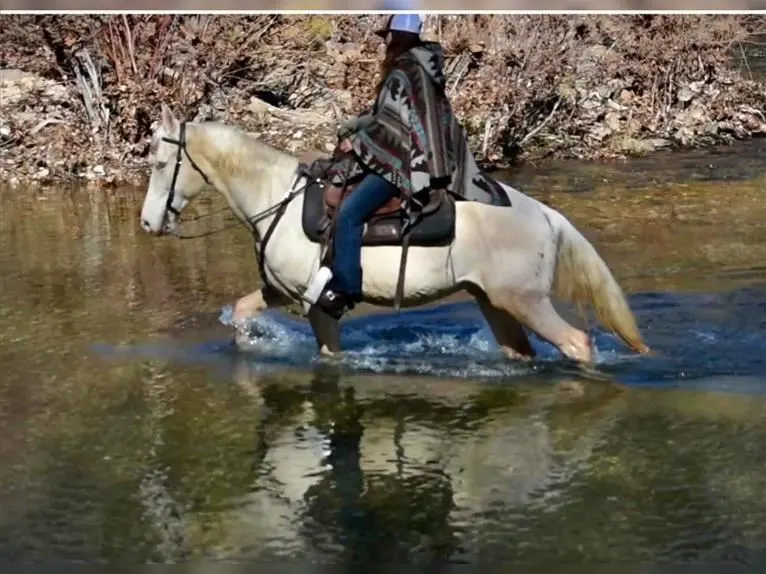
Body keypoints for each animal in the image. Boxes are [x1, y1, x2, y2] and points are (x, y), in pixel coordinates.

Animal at [140, 104, 650, 364]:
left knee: (577, 344)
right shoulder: (282, 292)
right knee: (521, 353)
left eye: (162, 163)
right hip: (495, 303)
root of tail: (545, 214)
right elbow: (245, 312)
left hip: (525, 301)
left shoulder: (319, 305)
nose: (147, 223)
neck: (276, 198)